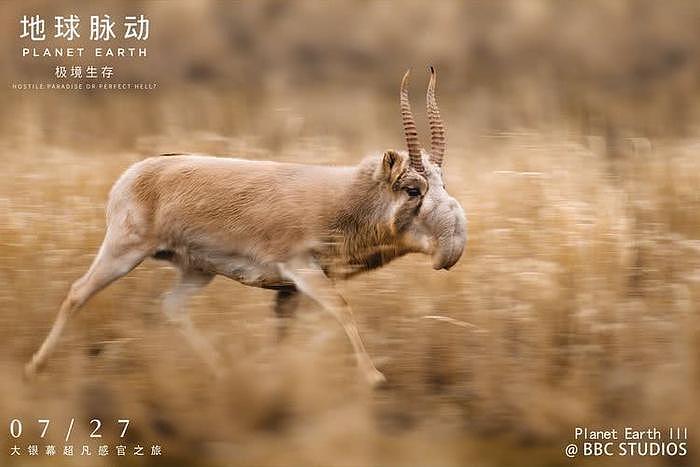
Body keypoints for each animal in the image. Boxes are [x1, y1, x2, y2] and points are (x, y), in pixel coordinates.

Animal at [24, 66, 468, 388]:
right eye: (412, 188)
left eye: (443, 183)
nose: (453, 246)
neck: (344, 196)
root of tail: (131, 175)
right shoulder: (301, 269)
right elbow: (342, 308)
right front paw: (374, 377)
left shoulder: (289, 290)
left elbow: (282, 332)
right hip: (123, 250)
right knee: (78, 292)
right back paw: (35, 367)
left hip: (196, 270)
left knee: (172, 307)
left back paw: (221, 370)